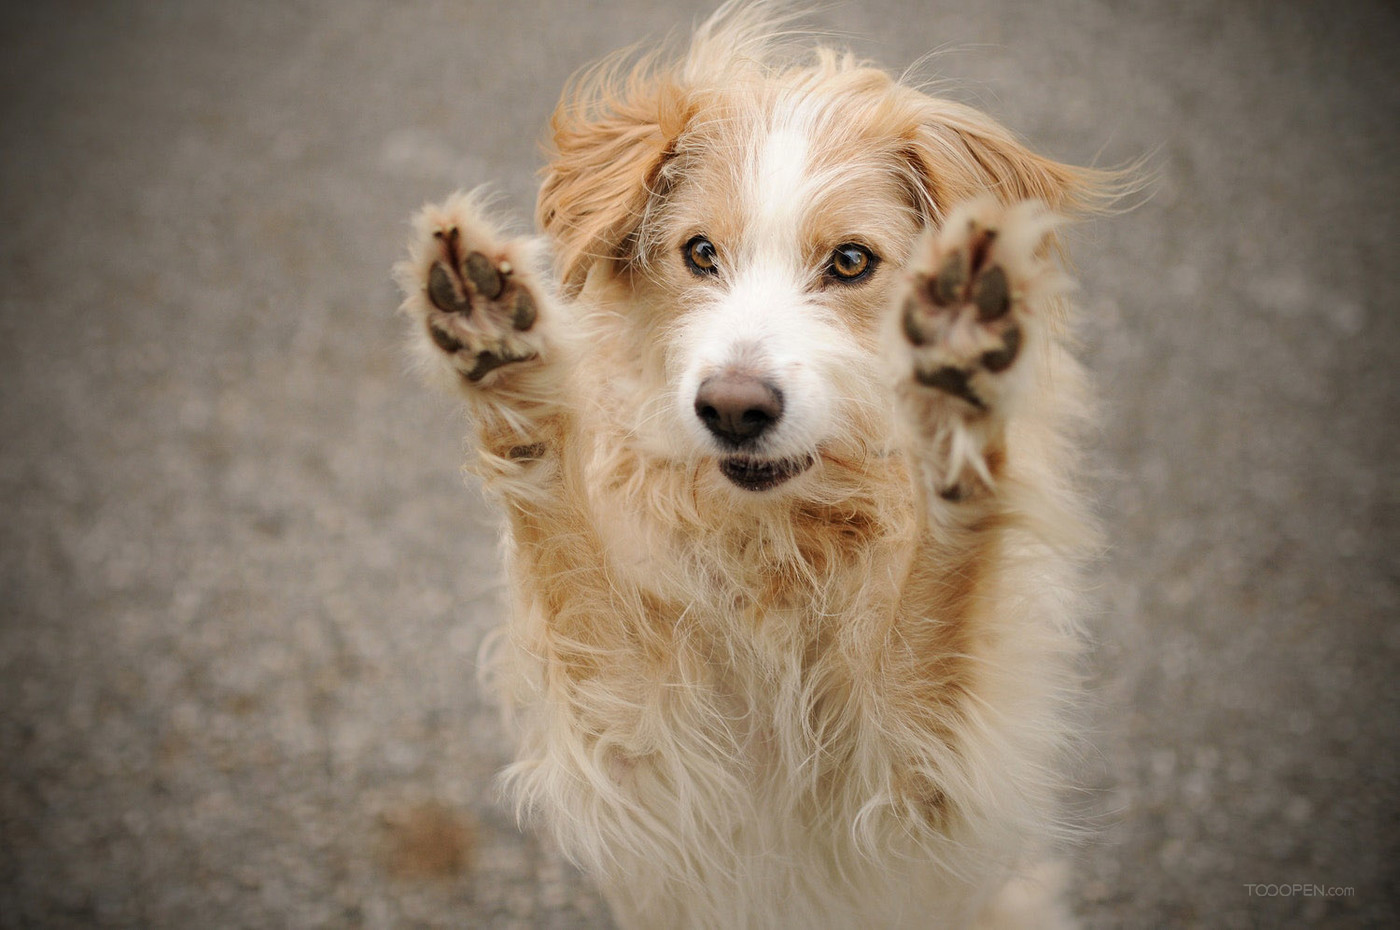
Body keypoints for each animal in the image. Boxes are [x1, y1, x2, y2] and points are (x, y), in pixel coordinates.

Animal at [394, 3, 1125, 924]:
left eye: (851, 261)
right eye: (701, 253)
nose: (733, 408)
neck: (778, 548)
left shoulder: (927, 774)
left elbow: (941, 595)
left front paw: (957, 395)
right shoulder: (636, 747)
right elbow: (562, 541)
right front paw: (505, 368)